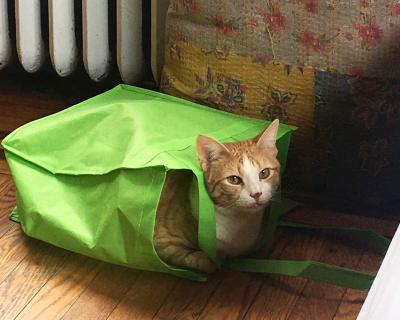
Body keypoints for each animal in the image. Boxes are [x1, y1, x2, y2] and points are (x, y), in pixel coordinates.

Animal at [155, 119, 280, 272]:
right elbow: (206, 262)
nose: (256, 194)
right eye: (234, 179)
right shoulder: (164, 243)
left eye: (264, 173)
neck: (239, 220)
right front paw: (217, 261)